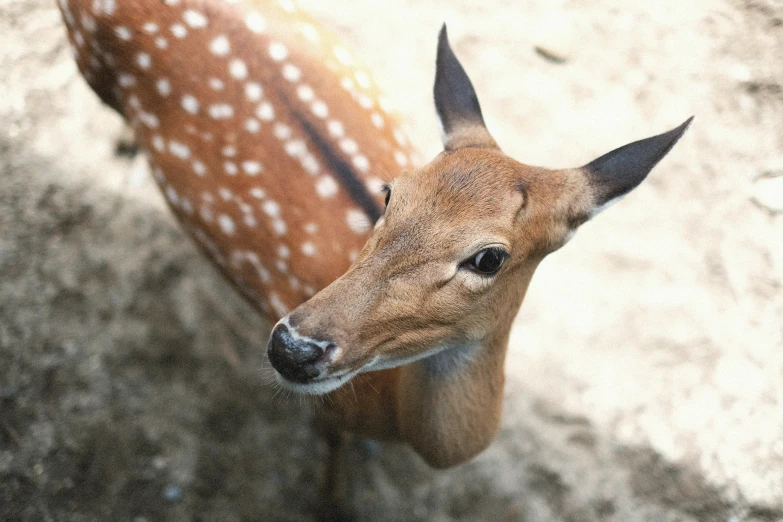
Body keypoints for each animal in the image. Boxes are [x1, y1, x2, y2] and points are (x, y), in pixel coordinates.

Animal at [58, 0, 688, 512]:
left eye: (488, 258)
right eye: (391, 193)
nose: (291, 347)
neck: (397, 419)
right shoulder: (331, 412)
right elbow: (334, 453)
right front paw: (334, 502)